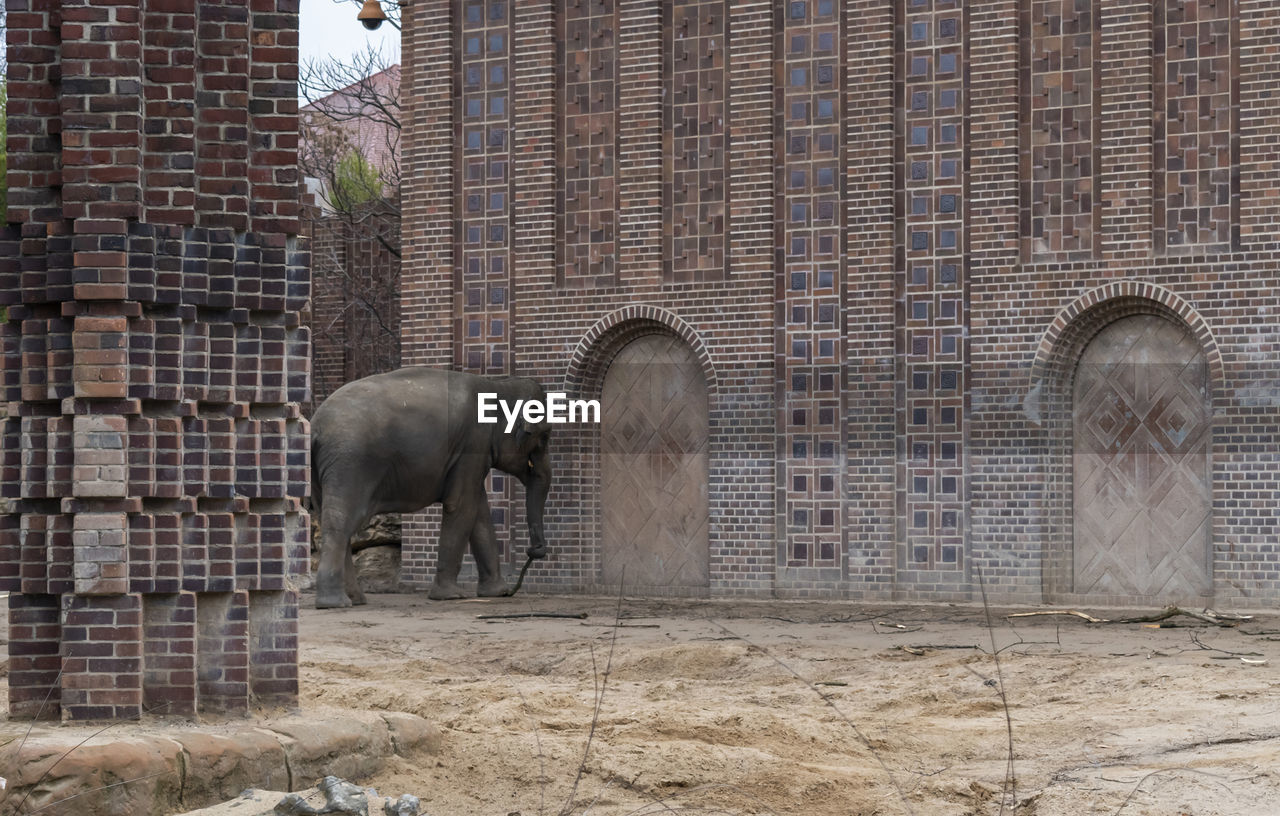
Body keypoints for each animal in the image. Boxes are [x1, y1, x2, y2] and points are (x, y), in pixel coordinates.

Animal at [312, 368, 552, 611]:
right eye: (543, 437)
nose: (535, 550)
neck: (498, 386)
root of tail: (317, 426)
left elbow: (479, 512)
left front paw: (498, 593)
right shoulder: (473, 444)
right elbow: (461, 506)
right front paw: (452, 596)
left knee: (331, 519)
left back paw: (354, 600)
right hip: (350, 463)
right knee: (342, 522)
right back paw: (335, 603)